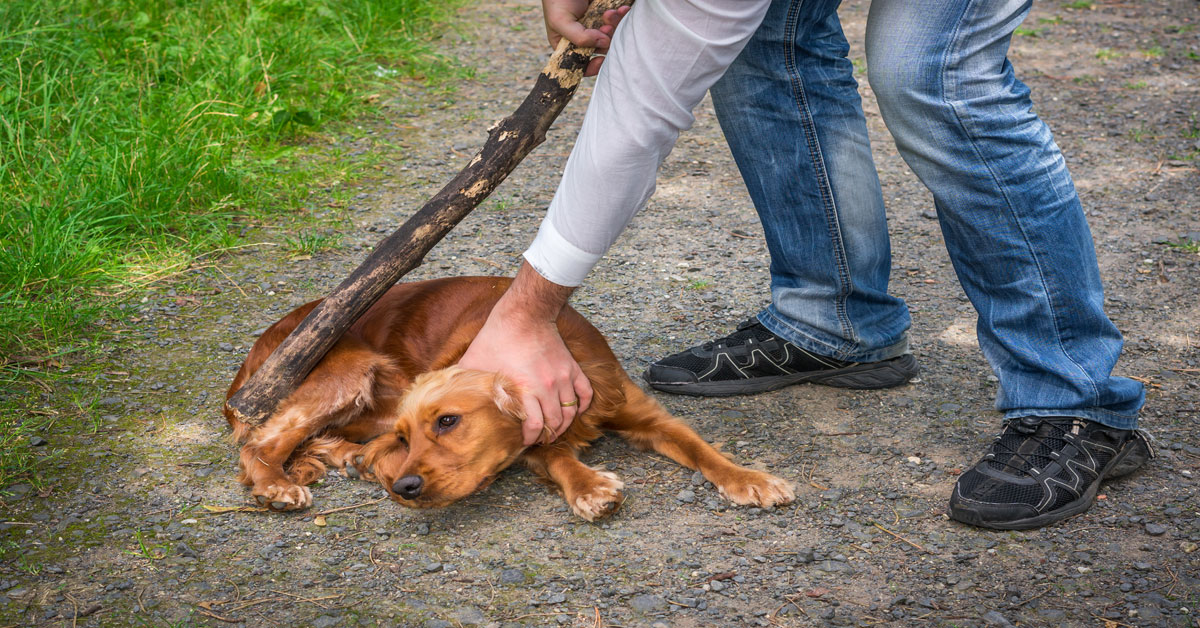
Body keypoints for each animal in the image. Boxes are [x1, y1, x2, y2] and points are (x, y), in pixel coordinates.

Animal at [225, 276, 796, 521]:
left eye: (448, 422)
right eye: (408, 437)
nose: (406, 487)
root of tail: (251, 358)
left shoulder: (644, 413)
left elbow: (702, 450)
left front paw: (750, 478)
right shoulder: (532, 443)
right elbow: (559, 458)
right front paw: (590, 487)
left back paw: (347, 459)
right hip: (347, 371)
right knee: (259, 444)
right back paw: (278, 485)